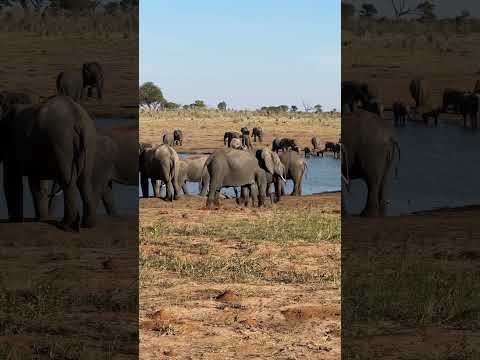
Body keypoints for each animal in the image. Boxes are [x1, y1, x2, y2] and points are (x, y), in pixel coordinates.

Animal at [0, 95, 97, 231]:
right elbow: (37, 183)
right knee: (85, 181)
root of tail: (78, 120)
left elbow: (12, 181)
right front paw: (42, 220)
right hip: (88, 140)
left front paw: (16, 222)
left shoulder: (10, 143)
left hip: (62, 143)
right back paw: (88, 225)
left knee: (68, 182)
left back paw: (65, 226)